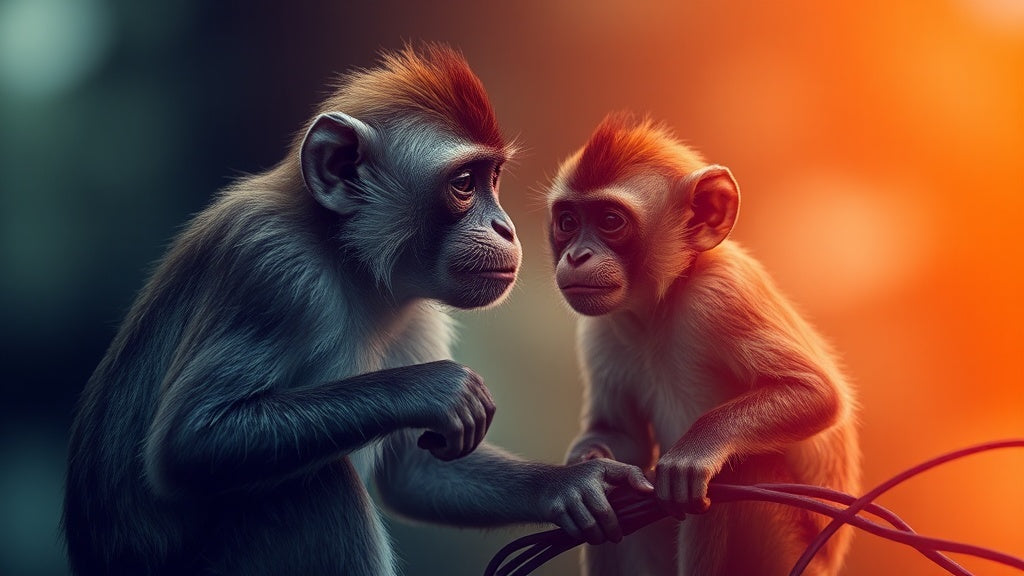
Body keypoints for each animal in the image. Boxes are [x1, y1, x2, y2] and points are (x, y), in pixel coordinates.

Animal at [62, 45, 653, 576]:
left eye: (493, 180)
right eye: (465, 184)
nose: (504, 227)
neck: (343, 258)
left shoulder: (414, 309)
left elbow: (415, 472)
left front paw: (567, 487)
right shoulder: (273, 268)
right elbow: (190, 440)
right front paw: (435, 388)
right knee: (317, 484)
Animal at [548, 113, 860, 576]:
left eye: (610, 220)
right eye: (567, 222)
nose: (576, 256)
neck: (660, 307)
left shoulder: (723, 290)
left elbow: (817, 393)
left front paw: (697, 450)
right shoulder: (599, 328)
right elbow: (622, 438)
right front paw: (588, 468)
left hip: (786, 554)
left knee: (742, 469)